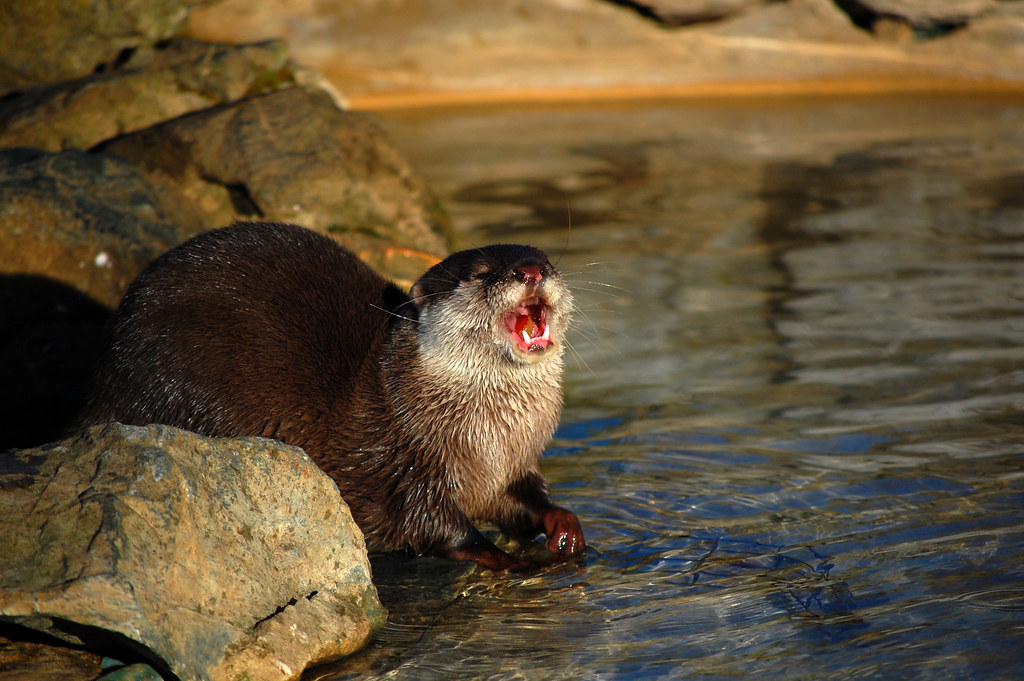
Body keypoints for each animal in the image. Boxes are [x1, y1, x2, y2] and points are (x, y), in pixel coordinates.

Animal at [79, 221, 585, 571]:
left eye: (546, 261)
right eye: (481, 274)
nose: (530, 271)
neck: (487, 439)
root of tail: (107, 376)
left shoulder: (512, 464)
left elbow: (521, 500)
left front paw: (562, 522)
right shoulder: (402, 462)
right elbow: (431, 523)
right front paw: (501, 556)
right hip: (187, 385)